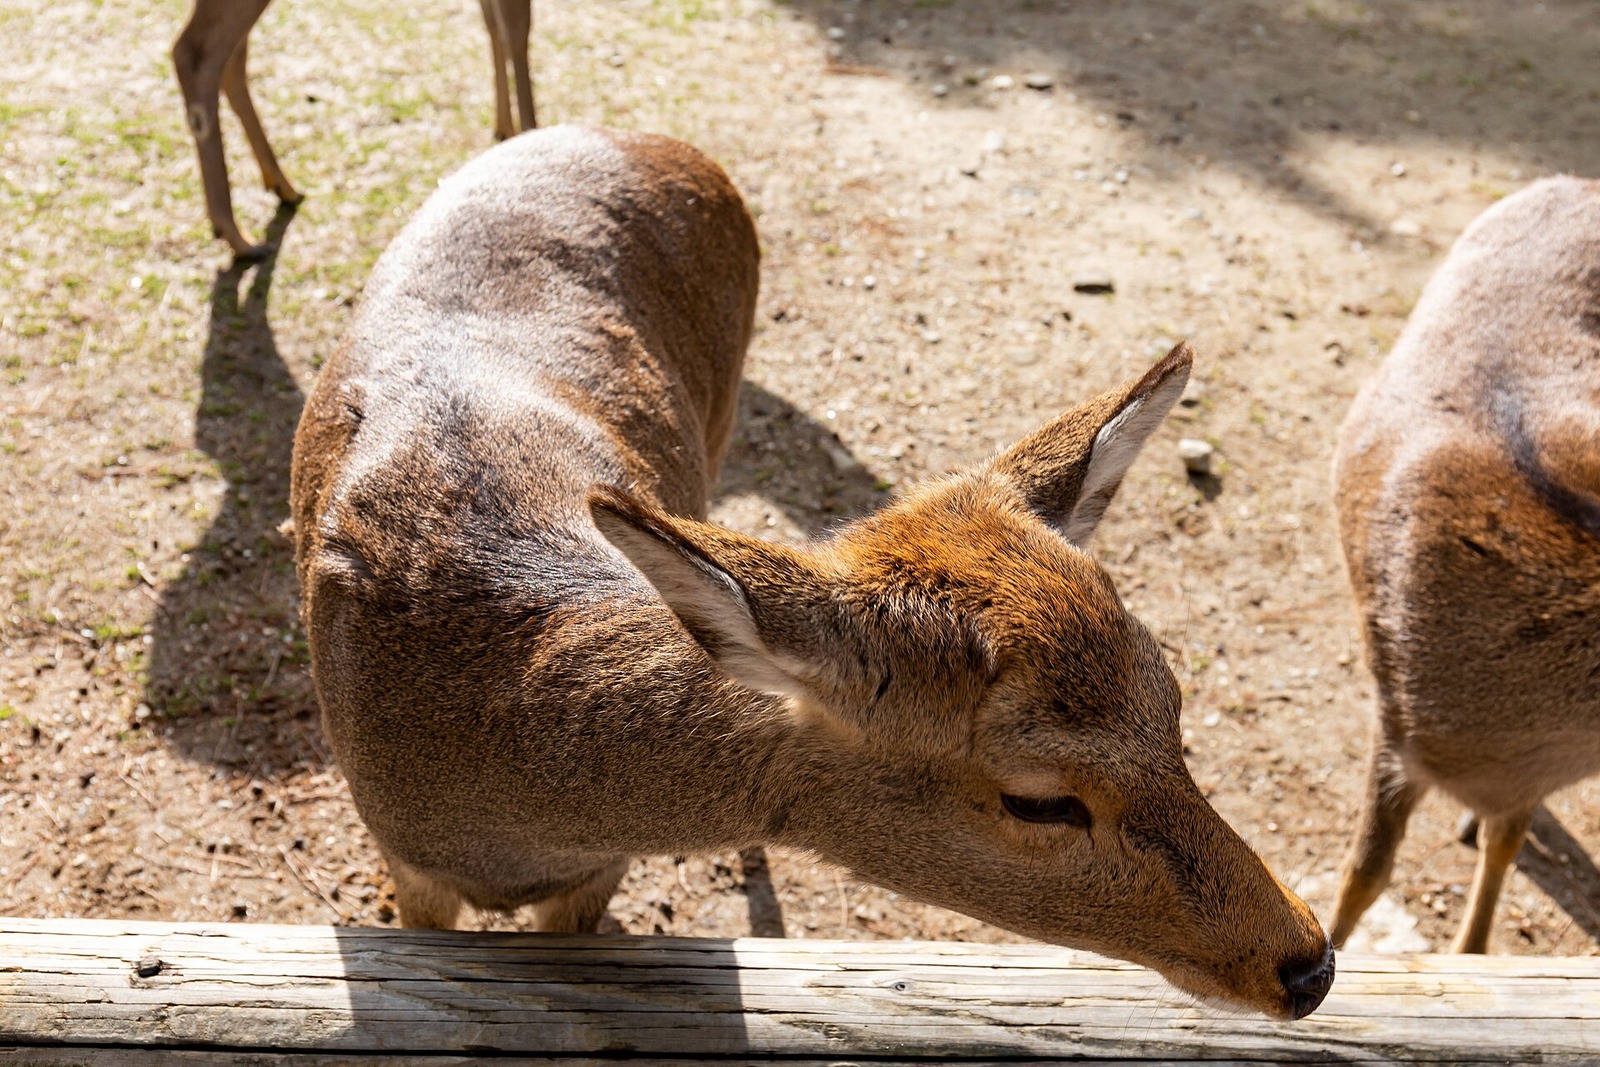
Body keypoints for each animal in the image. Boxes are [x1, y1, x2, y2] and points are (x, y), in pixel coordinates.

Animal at [172, 0, 535, 259]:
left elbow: (496, 26)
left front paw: (506, 130)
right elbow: (517, 30)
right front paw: (532, 134)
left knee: (229, 58)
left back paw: (281, 188)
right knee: (194, 53)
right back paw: (239, 236)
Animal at [289, 124, 1334, 1019]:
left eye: (1174, 702)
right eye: (1038, 797)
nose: (1309, 962)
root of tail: (651, 139)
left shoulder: (596, 875)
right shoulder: (405, 862)